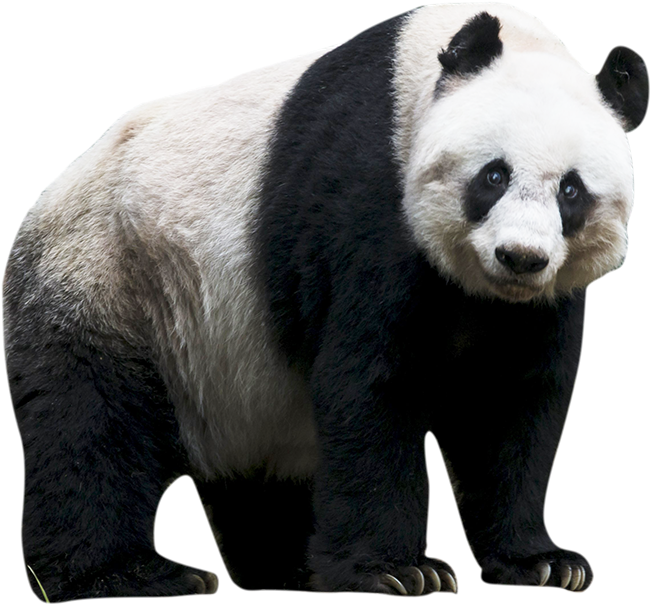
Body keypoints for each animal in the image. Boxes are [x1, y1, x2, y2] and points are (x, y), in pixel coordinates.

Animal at [3, 3, 648, 601]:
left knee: (258, 469)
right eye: (493, 176)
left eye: (572, 191)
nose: (520, 257)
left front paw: (545, 562)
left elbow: (507, 403)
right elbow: (371, 383)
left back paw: (287, 569)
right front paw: (401, 572)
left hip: (234, 368)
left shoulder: (536, 303)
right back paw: (133, 575)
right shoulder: (366, 197)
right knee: (92, 427)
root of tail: (44, 201)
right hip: (112, 276)